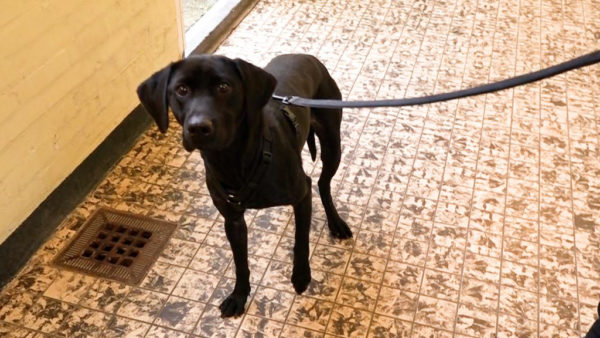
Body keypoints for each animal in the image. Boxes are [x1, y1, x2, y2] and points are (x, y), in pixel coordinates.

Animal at [137, 52, 352, 316]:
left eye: (223, 86)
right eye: (181, 89)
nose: (198, 127)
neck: (233, 160)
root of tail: (307, 56)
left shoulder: (301, 195)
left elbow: (300, 241)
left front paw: (301, 275)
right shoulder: (233, 220)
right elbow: (240, 262)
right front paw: (239, 295)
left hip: (333, 145)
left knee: (322, 183)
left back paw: (336, 222)